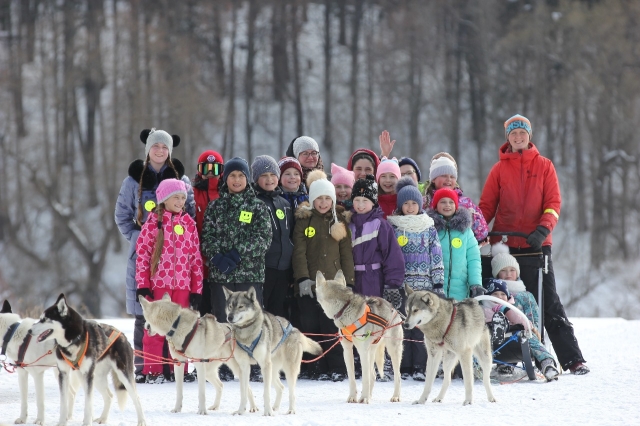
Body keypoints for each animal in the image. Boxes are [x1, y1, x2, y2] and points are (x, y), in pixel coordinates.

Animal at [31, 292, 145, 426]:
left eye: (44, 319)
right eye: (40, 318)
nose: (30, 330)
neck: (73, 340)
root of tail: (122, 335)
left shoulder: (87, 375)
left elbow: (88, 403)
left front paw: (86, 422)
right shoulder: (63, 373)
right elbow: (64, 403)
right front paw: (62, 423)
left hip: (122, 374)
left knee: (136, 398)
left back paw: (142, 421)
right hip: (95, 377)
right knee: (109, 396)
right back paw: (103, 418)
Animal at [222, 284, 322, 414]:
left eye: (240, 306)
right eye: (230, 306)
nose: (229, 317)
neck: (246, 334)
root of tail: (295, 329)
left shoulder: (264, 364)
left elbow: (266, 393)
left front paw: (268, 412)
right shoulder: (243, 367)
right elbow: (243, 392)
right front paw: (240, 411)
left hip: (286, 369)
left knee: (292, 392)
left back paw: (290, 410)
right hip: (272, 369)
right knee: (281, 387)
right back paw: (275, 407)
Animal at [316, 272, 404, 404]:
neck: (344, 307)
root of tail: (392, 307)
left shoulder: (363, 351)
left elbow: (365, 378)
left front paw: (364, 398)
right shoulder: (347, 350)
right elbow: (352, 378)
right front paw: (353, 397)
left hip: (393, 350)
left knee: (397, 376)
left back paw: (395, 396)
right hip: (372, 350)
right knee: (373, 375)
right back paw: (370, 395)